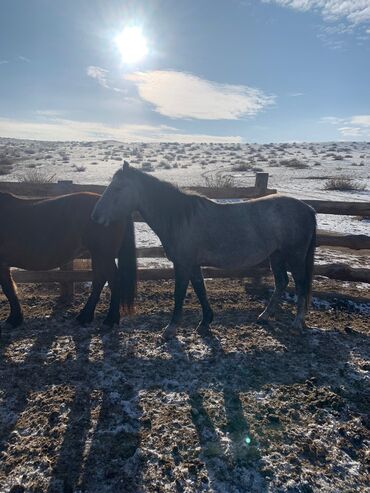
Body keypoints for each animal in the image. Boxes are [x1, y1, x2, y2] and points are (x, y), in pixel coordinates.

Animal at [0, 192, 137, 330]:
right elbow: (10, 289)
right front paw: (16, 318)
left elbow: (8, 289)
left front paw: (14, 319)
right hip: (98, 255)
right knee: (100, 280)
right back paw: (85, 316)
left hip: (103, 254)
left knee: (114, 280)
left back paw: (110, 319)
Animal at [92, 161, 316, 338]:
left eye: (118, 188)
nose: (95, 216)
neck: (181, 218)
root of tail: (308, 209)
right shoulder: (193, 265)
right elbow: (201, 290)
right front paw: (205, 321)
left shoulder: (182, 264)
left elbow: (179, 294)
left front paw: (170, 329)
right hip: (276, 255)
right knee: (281, 282)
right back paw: (264, 315)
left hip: (295, 256)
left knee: (301, 285)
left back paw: (297, 323)